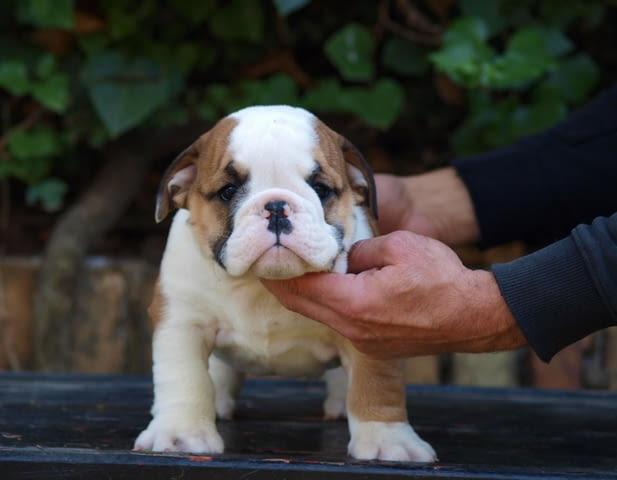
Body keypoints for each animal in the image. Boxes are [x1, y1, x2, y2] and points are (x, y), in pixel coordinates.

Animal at [134, 105, 434, 462]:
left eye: (321, 189)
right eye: (228, 192)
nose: (276, 206)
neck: (259, 284)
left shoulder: (372, 326)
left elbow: (377, 381)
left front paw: (387, 439)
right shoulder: (182, 320)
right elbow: (184, 376)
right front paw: (180, 433)